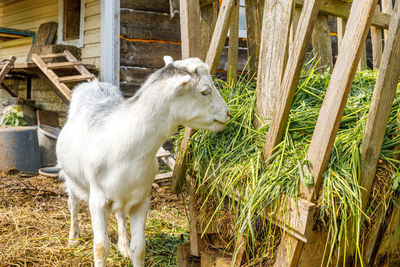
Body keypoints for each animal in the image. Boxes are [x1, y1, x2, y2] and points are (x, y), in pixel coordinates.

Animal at [56, 57, 231, 267]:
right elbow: (100, 248)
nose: (228, 114)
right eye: (205, 91)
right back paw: (73, 238)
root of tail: (94, 84)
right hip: (71, 177)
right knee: (73, 203)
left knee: (120, 214)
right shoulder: (97, 199)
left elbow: (139, 249)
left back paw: (123, 245)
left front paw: (129, 249)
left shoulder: (142, 199)